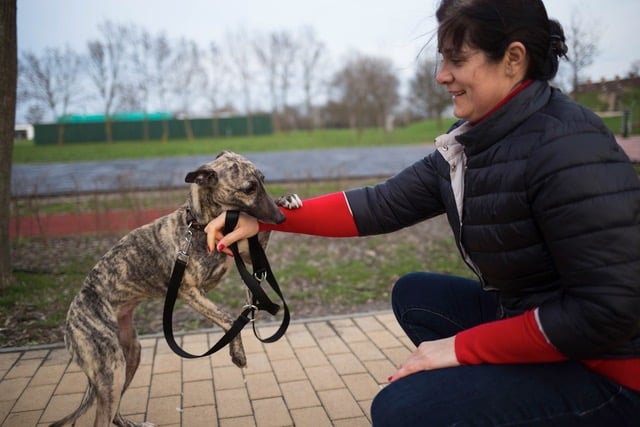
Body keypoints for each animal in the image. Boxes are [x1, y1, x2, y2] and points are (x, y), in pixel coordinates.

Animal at [50, 151, 300, 427]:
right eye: (248, 188)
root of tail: (72, 317)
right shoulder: (190, 291)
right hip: (110, 370)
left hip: (130, 355)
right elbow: (227, 319)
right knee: (103, 418)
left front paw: (286, 198)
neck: (200, 224)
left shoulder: (246, 254)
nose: (280, 219)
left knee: (114, 414)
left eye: (263, 180)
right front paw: (238, 354)